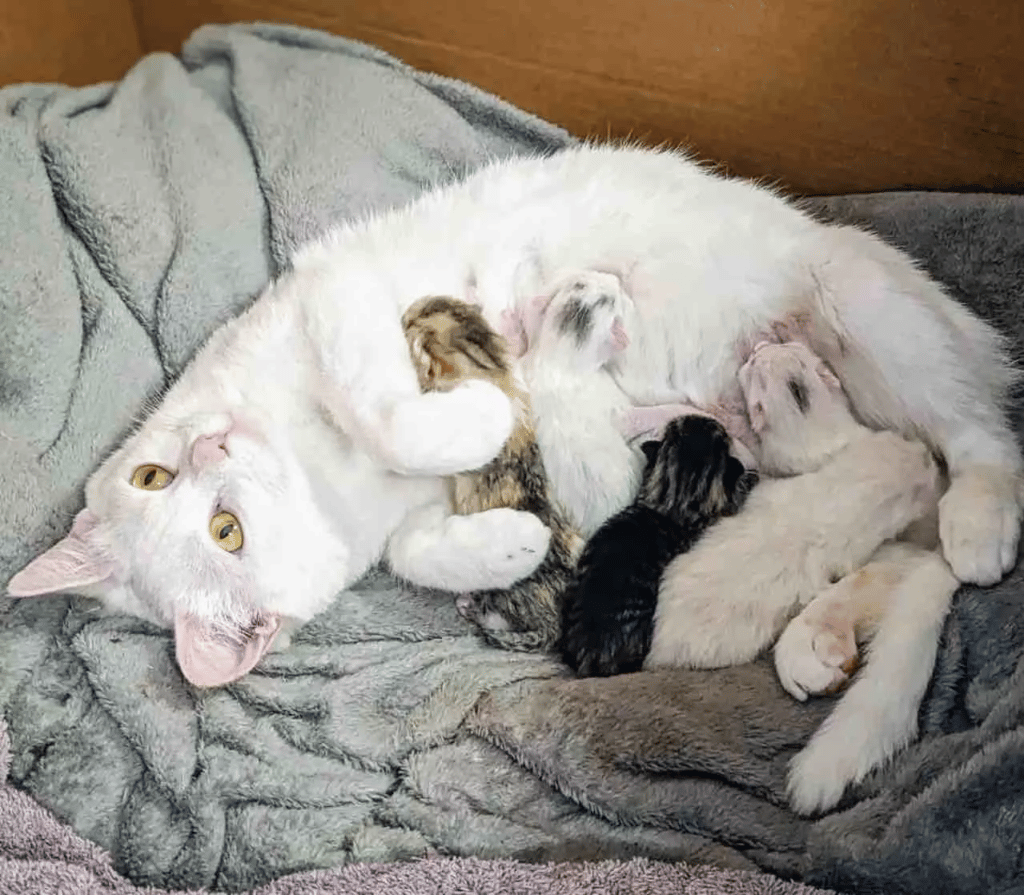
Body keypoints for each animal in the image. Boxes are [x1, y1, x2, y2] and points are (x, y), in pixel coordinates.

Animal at [557, 415, 757, 671]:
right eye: (721, 436)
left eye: (675, 428)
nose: (704, 418)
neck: (675, 502)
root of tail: (590, 659)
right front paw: (750, 478)